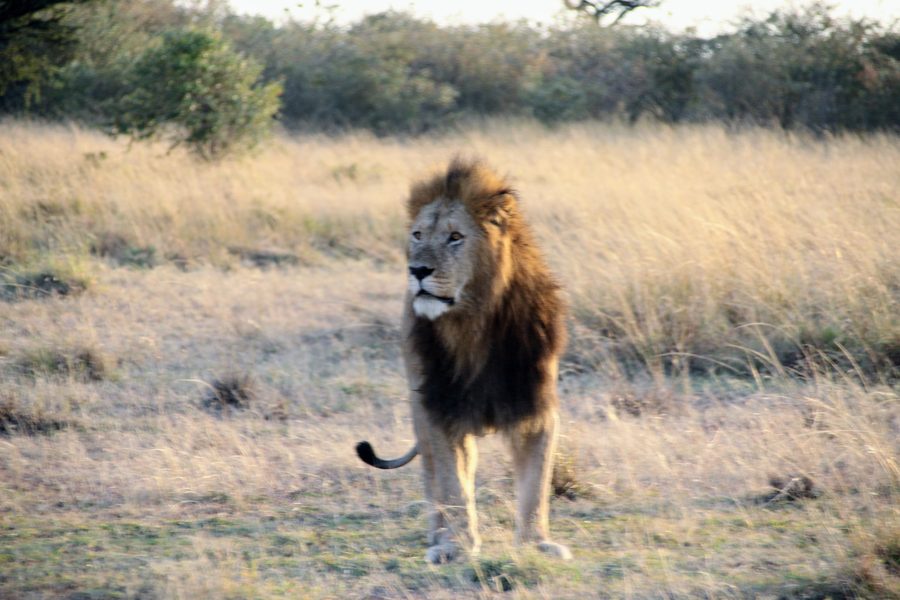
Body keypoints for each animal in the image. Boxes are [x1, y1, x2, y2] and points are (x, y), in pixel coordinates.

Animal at [355, 158, 571, 564]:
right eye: (418, 235)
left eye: (455, 237)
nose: (417, 271)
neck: (474, 322)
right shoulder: (440, 407)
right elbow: (453, 484)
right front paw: (455, 547)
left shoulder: (536, 405)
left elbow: (537, 483)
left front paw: (536, 543)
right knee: (435, 478)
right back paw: (439, 536)